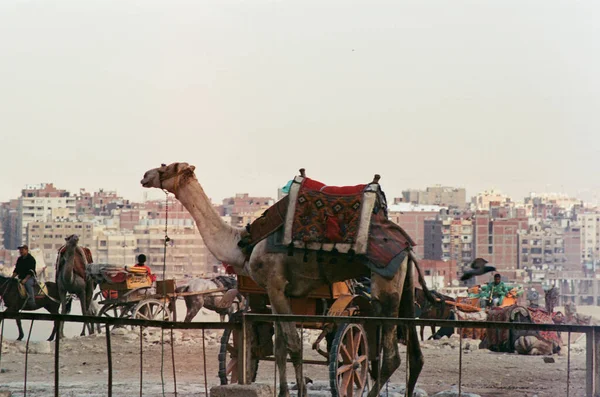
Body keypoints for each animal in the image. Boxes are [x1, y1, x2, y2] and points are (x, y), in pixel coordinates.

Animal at [141, 162, 432, 396]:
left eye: (168, 167)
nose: (145, 175)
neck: (243, 243)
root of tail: (407, 247)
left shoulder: (275, 284)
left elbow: (292, 343)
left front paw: (299, 389)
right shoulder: (285, 294)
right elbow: (281, 345)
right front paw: (284, 390)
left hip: (385, 286)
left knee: (390, 356)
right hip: (405, 285)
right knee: (415, 355)